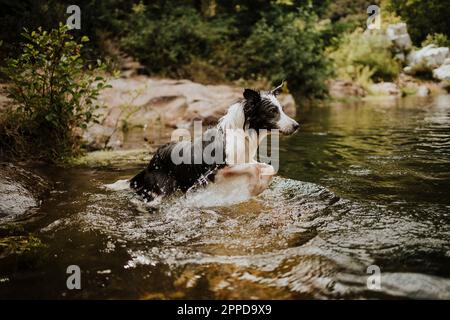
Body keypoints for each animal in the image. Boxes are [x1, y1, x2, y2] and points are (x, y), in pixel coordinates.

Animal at [130, 83, 298, 202]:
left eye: (282, 110)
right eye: (272, 111)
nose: (296, 125)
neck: (243, 134)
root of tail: (150, 163)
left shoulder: (246, 159)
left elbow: (268, 167)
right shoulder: (213, 172)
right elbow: (253, 168)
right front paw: (254, 187)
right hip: (162, 190)